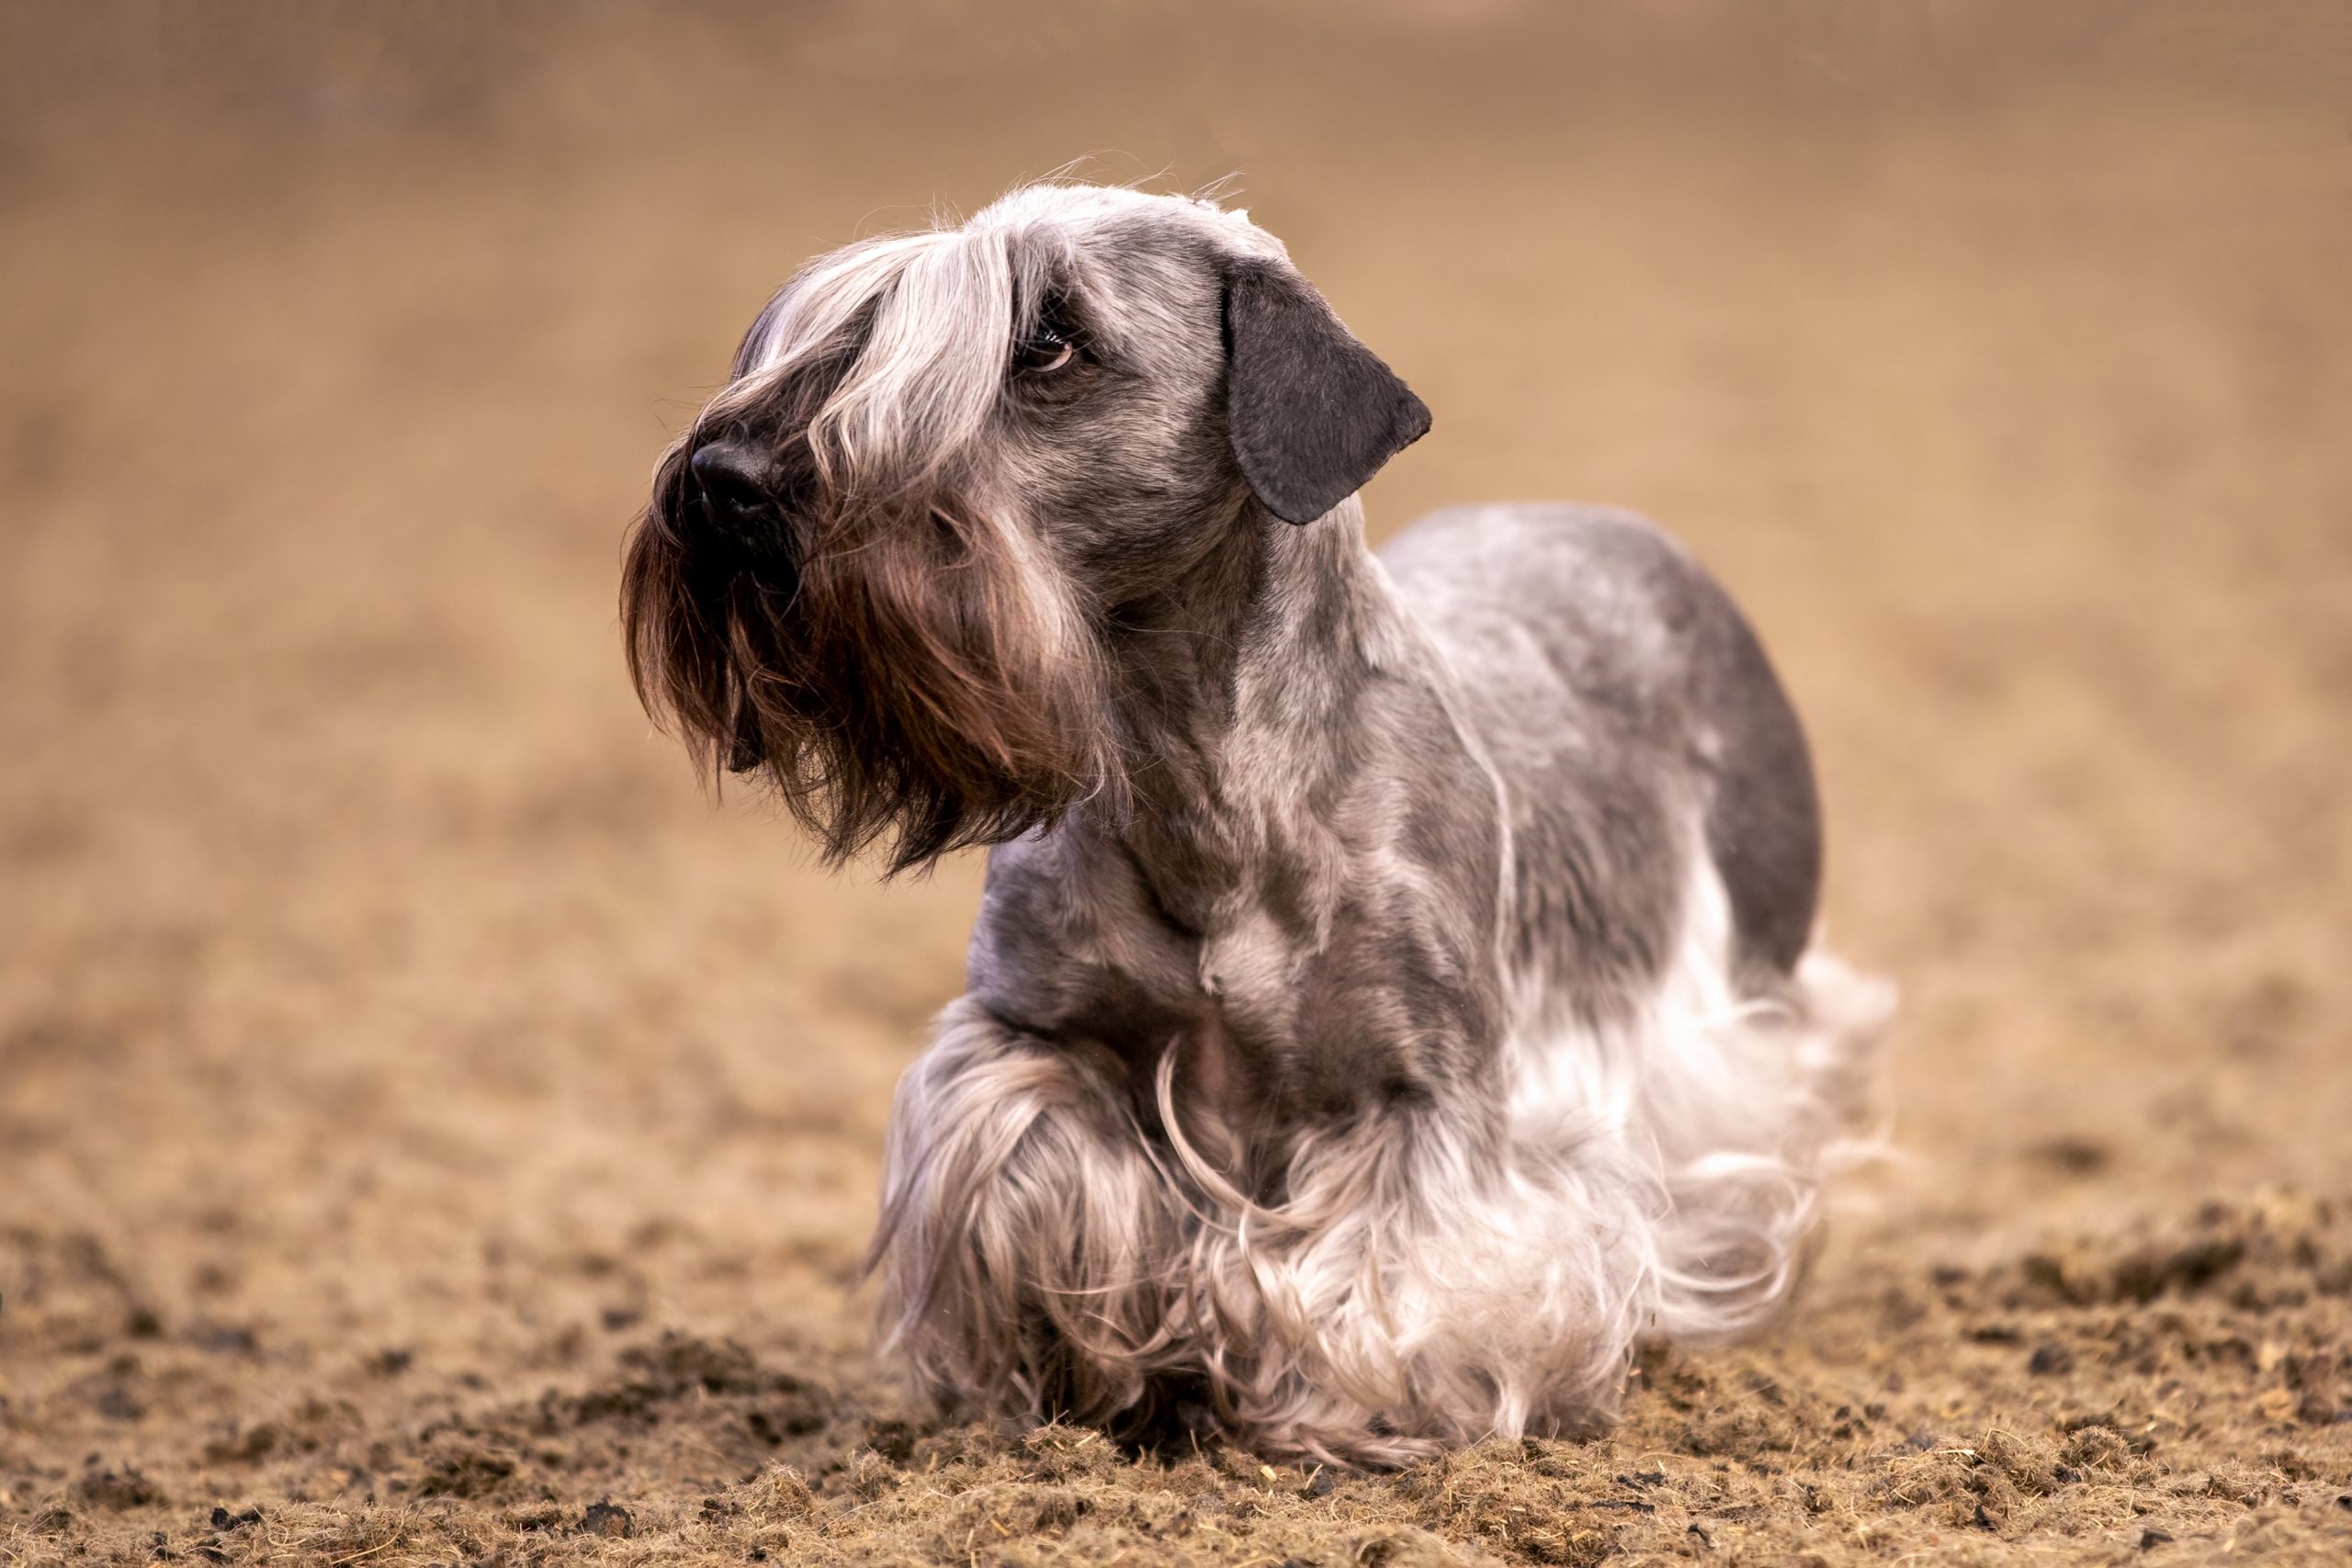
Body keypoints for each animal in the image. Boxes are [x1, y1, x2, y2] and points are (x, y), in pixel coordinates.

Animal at [616, 184, 1882, 1476]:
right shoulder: (1030, 1036)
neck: (1203, 789)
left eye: (1049, 340)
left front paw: (1345, 1409)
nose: (724, 479)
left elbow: (1391, 1281)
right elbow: (1050, 1181)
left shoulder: (1423, 1098)